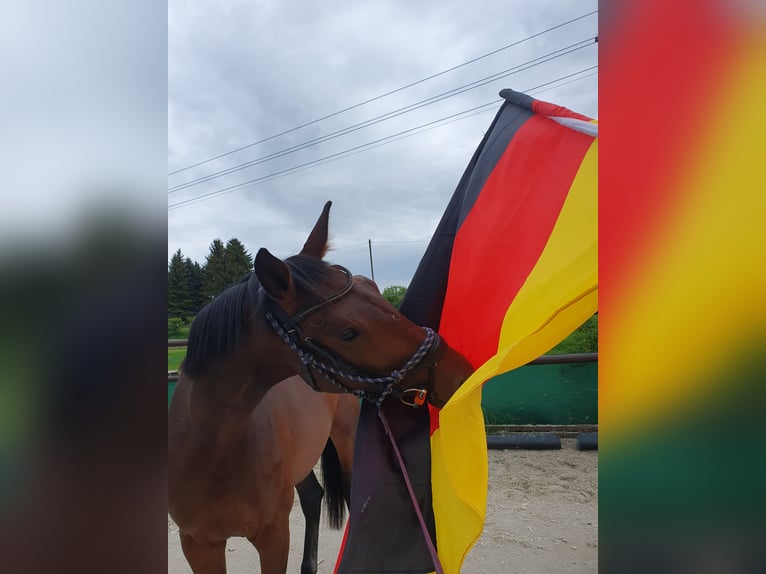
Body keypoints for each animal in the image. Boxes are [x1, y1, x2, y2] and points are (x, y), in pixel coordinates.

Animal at [168, 200, 474, 574]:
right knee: (313, 496)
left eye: (373, 290)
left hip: (345, 440)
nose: (458, 372)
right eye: (347, 333)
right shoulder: (198, 544)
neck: (210, 450)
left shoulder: (273, 536)